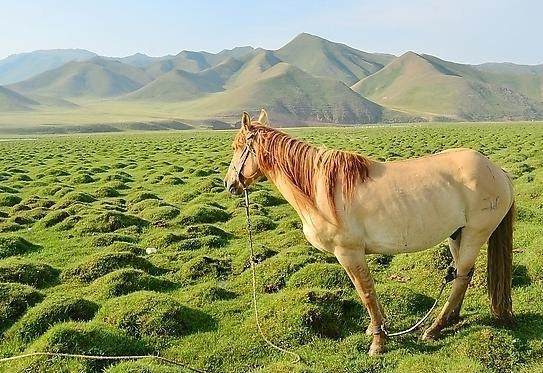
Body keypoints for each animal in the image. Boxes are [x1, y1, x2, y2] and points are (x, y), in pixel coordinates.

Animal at [224, 109, 516, 354]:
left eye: (238, 147)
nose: (229, 184)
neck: (321, 189)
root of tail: (497, 170)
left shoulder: (349, 252)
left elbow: (365, 292)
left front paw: (378, 341)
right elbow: (365, 290)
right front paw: (377, 329)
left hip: (476, 234)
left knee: (461, 276)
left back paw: (435, 328)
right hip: (457, 234)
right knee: (462, 275)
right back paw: (451, 318)